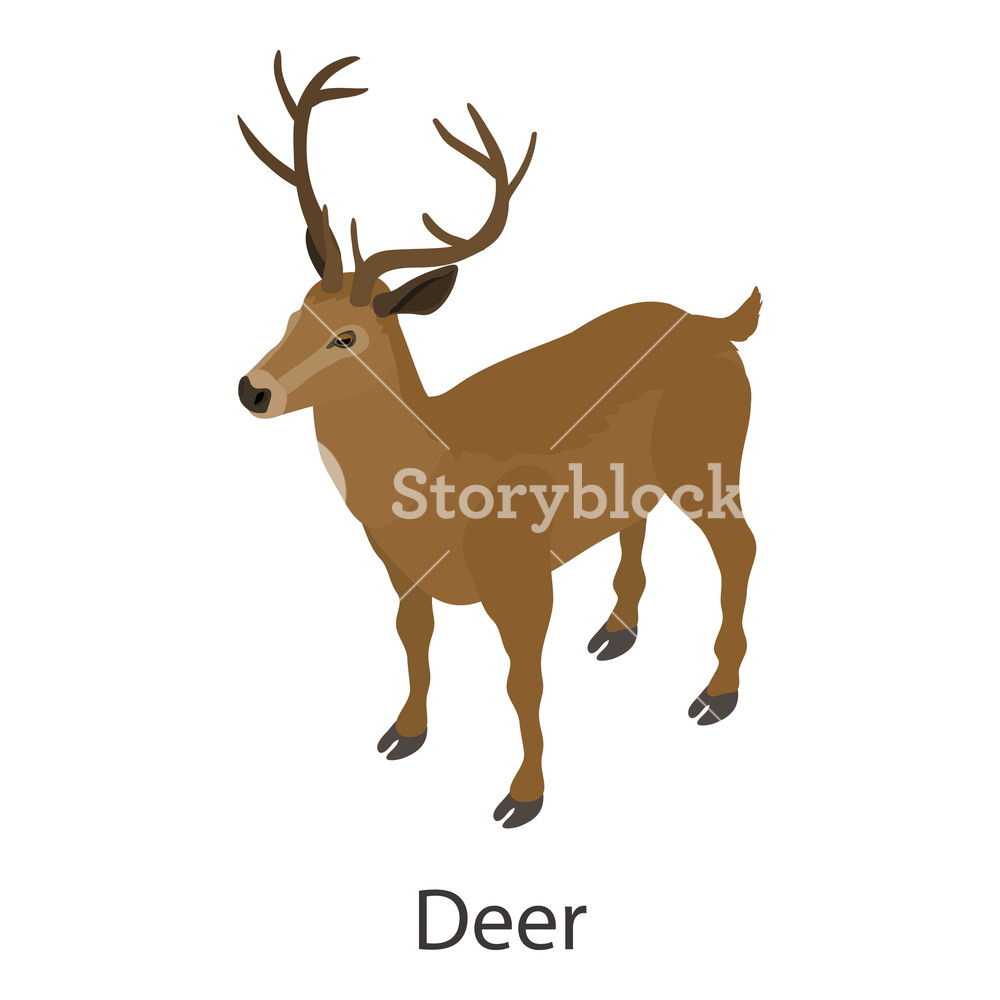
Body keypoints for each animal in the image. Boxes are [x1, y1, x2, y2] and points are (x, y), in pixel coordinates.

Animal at [237, 53, 760, 828]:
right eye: (295, 310)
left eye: (347, 336)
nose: (253, 388)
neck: (439, 480)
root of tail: (721, 324)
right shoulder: (401, 572)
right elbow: (414, 647)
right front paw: (404, 734)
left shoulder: (523, 574)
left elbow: (523, 683)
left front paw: (523, 796)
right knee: (638, 519)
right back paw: (616, 631)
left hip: (712, 458)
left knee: (740, 548)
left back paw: (715, 694)